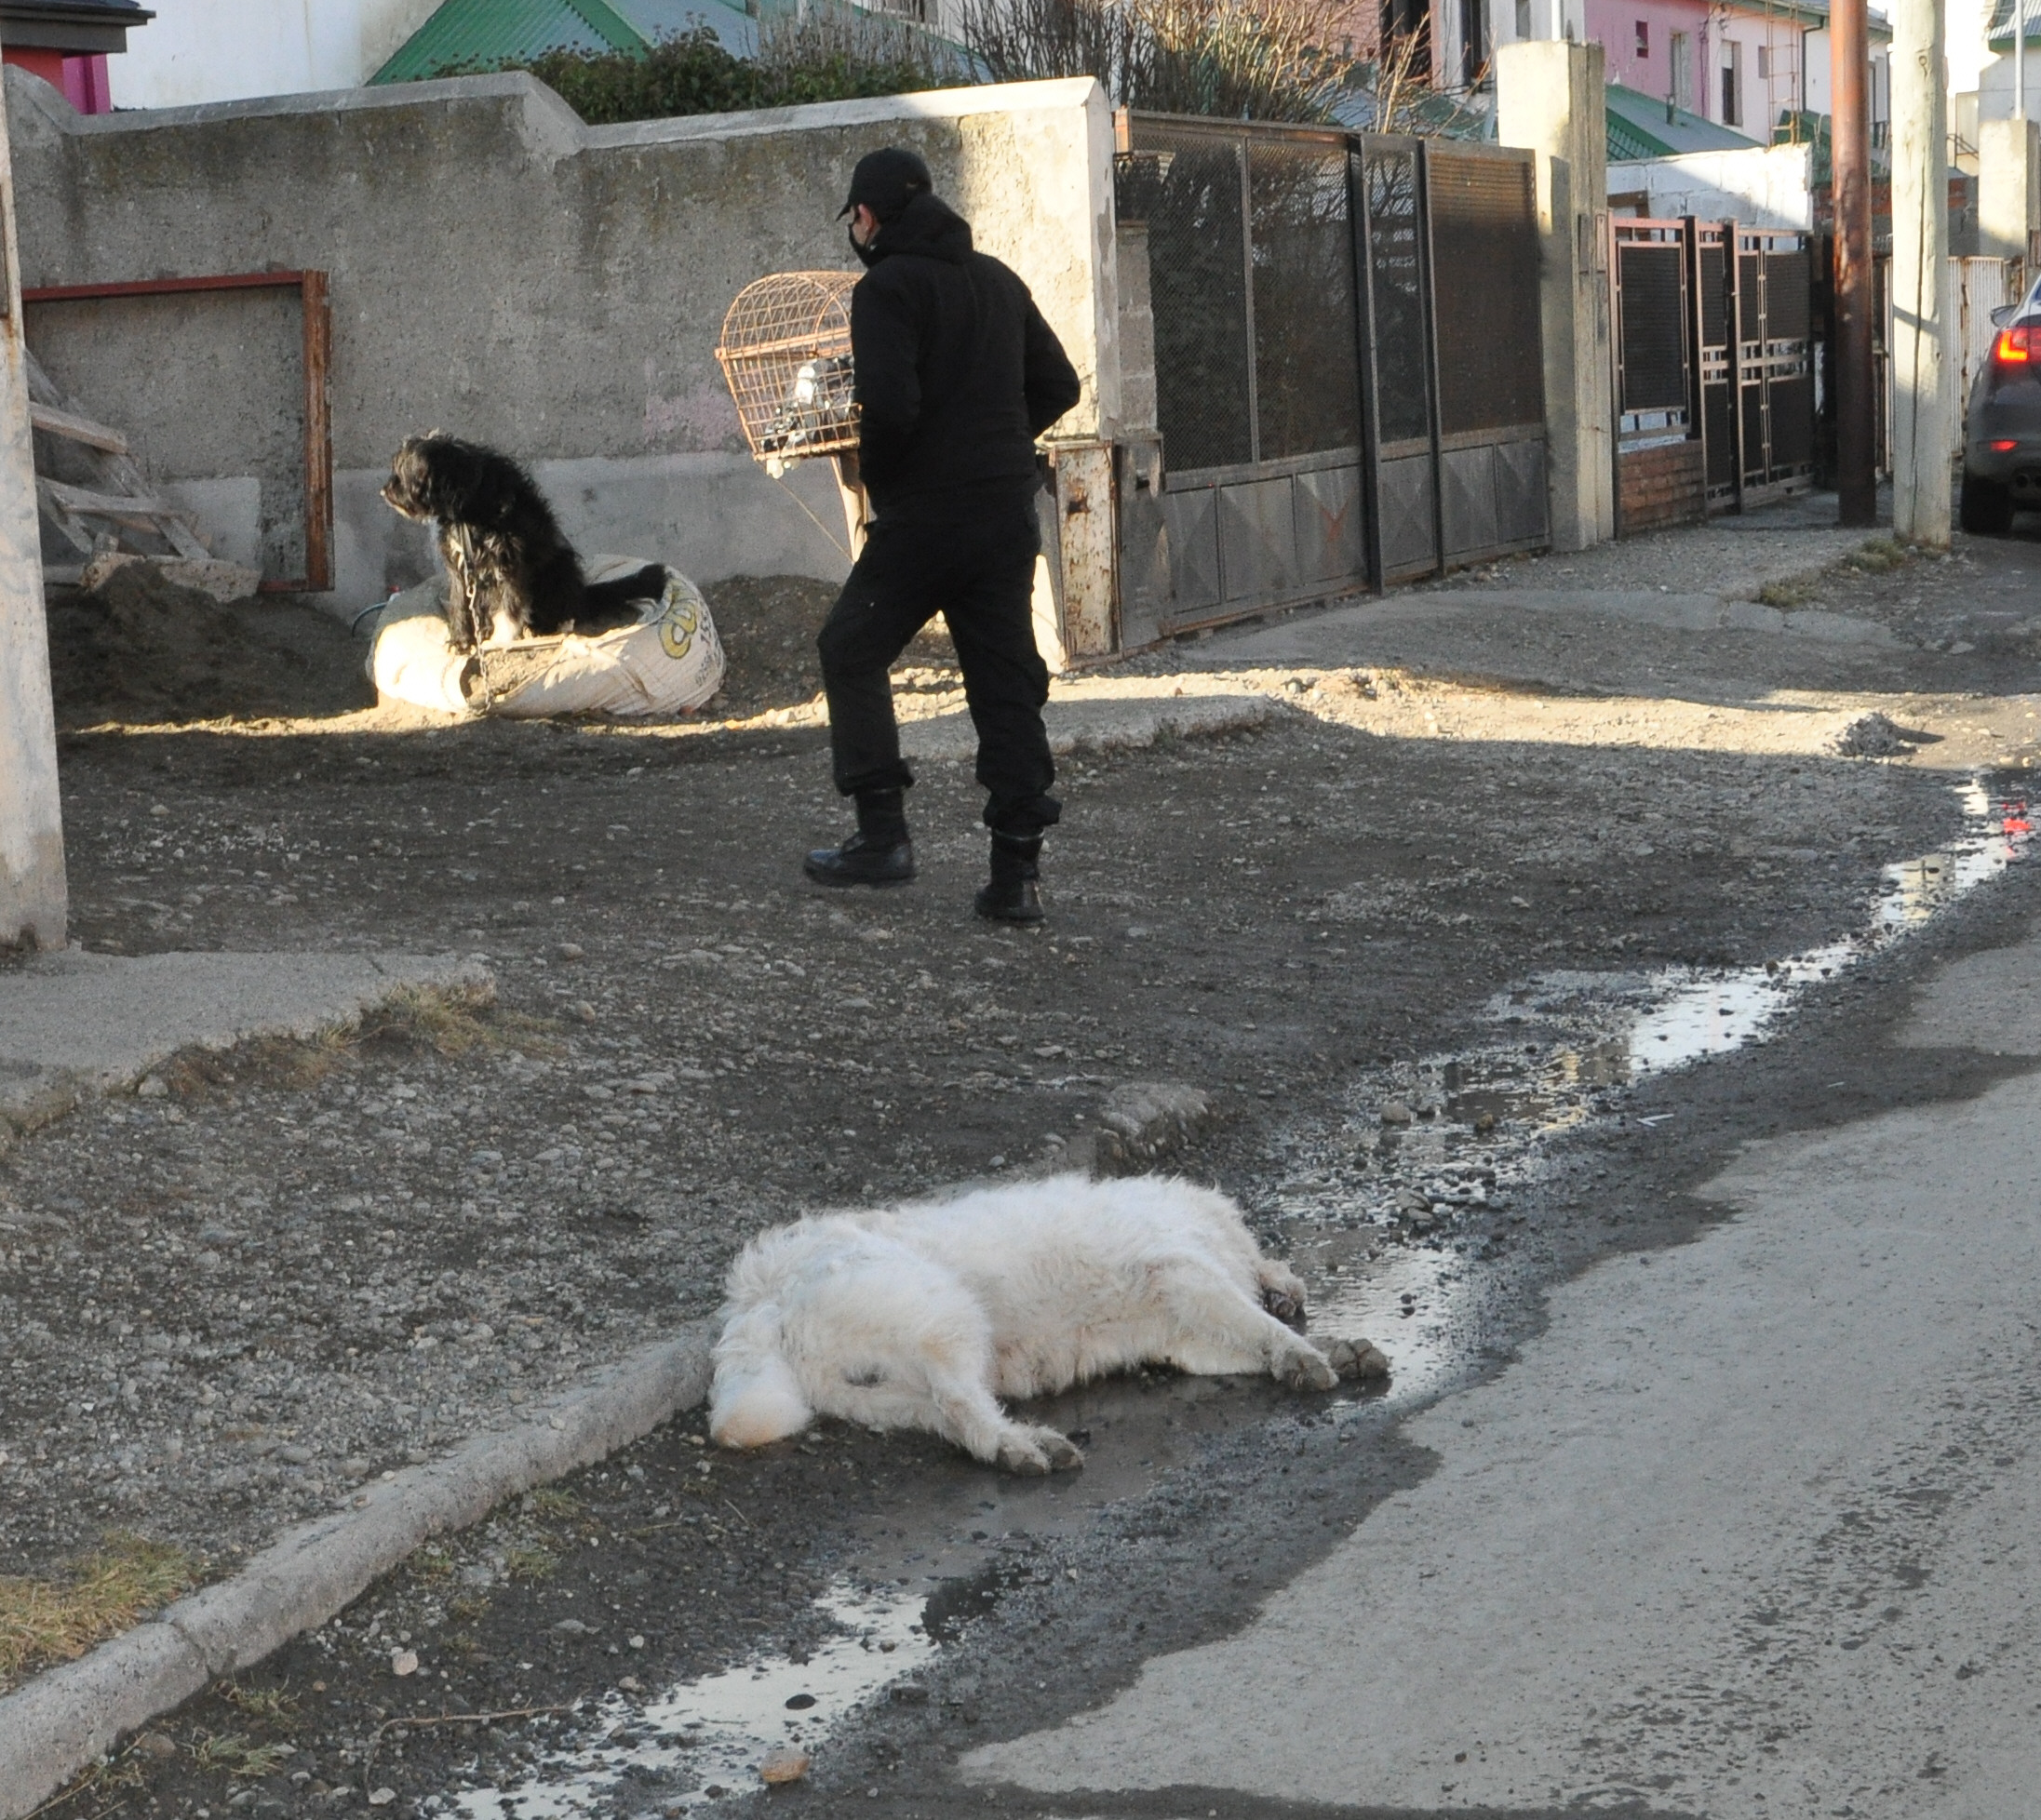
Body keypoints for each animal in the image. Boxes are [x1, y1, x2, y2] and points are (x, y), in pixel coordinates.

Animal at [382, 432, 661, 649]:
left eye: (401, 474)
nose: (384, 491)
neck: (468, 505)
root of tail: (581, 594)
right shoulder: (460, 565)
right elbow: (460, 603)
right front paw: (461, 639)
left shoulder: (510, 561)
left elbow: (510, 605)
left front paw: (503, 638)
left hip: (558, 571)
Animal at [702, 1167, 1388, 1477]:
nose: (1291, 1292)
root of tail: (760, 1290)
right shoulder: (1184, 1273)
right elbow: (1264, 1329)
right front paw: (1307, 1352)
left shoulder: (1189, 1334)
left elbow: (1255, 1338)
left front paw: (1335, 1347)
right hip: (946, 1312)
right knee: (960, 1403)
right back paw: (1022, 1448)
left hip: (881, 1390)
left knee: (955, 1415)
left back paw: (1020, 1444)